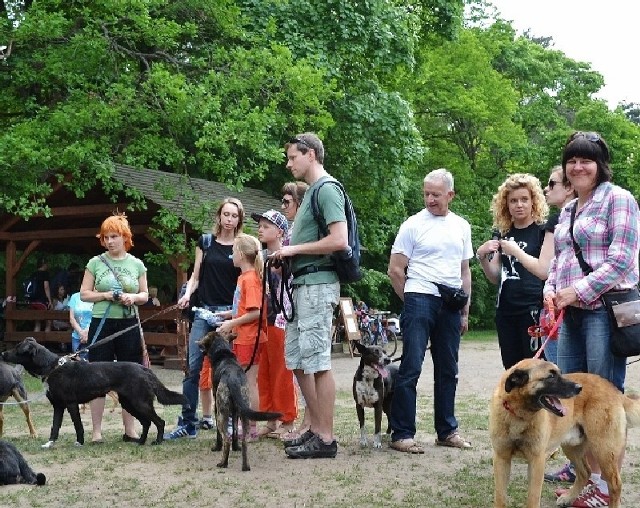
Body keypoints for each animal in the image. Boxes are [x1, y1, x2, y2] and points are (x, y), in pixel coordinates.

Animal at [1, 340, 188, 446]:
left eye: (17, 349)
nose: (3, 353)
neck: (53, 367)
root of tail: (144, 369)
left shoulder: (71, 404)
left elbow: (78, 426)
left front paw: (79, 442)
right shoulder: (58, 406)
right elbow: (55, 427)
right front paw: (50, 443)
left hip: (139, 403)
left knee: (159, 422)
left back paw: (157, 442)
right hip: (129, 403)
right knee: (147, 422)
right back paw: (141, 442)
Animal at [199, 334, 282, 472]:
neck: (224, 354)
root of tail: (233, 378)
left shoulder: (217, 408)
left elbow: (220, 435)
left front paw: (217, 447)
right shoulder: (236, 411)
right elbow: (235, 431)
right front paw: (236, 447)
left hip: (222, 413)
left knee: (226, 438)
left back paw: (223, 463)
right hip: (245, 412)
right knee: (244, 441)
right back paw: (245, 466)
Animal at [490, 358, 640, 508]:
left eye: (560, 373)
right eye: (551, 376)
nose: (579, 388)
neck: (519, 416)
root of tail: (614, 389)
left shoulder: (536, 462)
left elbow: (533, 498)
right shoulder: (501, 459)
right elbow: (500, 496)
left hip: (603, 450)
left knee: (615, 484)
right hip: (572, 447)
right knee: (585, 472)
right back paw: (569, 498)